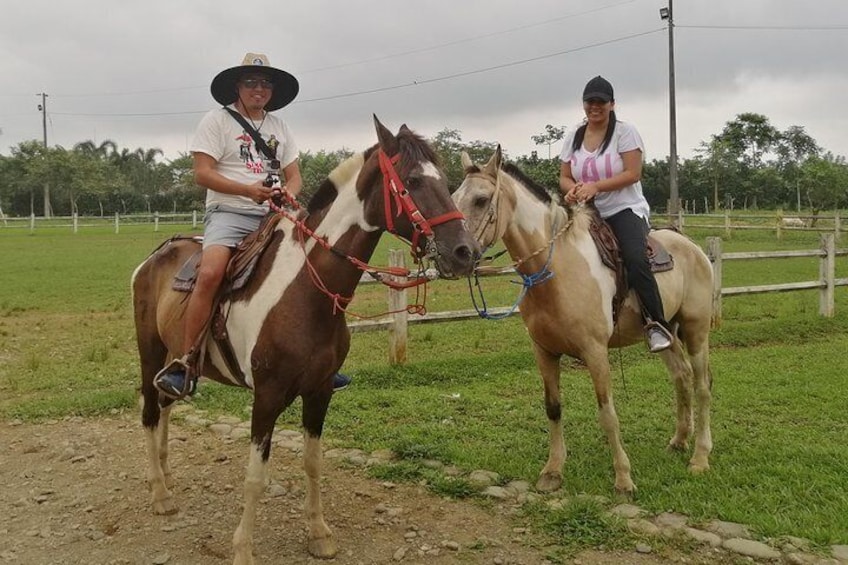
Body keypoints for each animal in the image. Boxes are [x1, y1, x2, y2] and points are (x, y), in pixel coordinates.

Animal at [131, 117, 476, 560]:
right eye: (413, 180)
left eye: (445, 180)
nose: (466, 251)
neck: (307, 290)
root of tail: (154, 257)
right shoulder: (266, 397)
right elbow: (255, 475)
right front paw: (243, 549)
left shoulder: (320, 391)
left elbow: (314, 463)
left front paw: (319, 533)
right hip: (149, 353)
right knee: (150, 411)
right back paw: (160, 494)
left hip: (175, 358)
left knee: (166, 403)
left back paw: (166, 473)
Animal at [454, 149, 712, 494]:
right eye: (454, 198)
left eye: (481, 200)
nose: (454, 254)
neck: (557, 270)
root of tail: (691, 245)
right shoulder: (544, 352)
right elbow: (553, 408)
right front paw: (552, 471)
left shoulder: (595, 352)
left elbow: (607, 413)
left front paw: (623, 478)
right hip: (665, 332)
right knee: (681, 377)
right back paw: (679, 441)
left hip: (697, 331)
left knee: (702, 386)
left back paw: (699, 458)